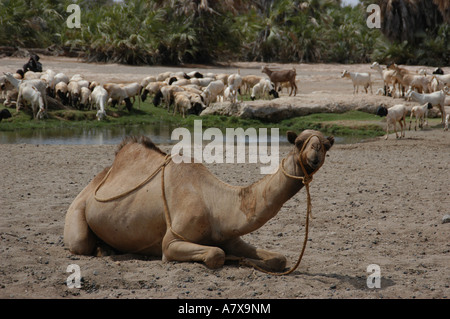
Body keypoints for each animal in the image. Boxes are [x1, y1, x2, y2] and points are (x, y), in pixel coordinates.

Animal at [63, 130, 332, 272]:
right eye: (299, 142)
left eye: (325, 146)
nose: (315, 156)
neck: (215, 203)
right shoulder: (171, 242)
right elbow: (216, 254)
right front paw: (233, 259)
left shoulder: (230, 236)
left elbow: (279, 258)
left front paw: (247, 260)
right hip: (78, 211)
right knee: (80, 243)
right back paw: (102, 250)